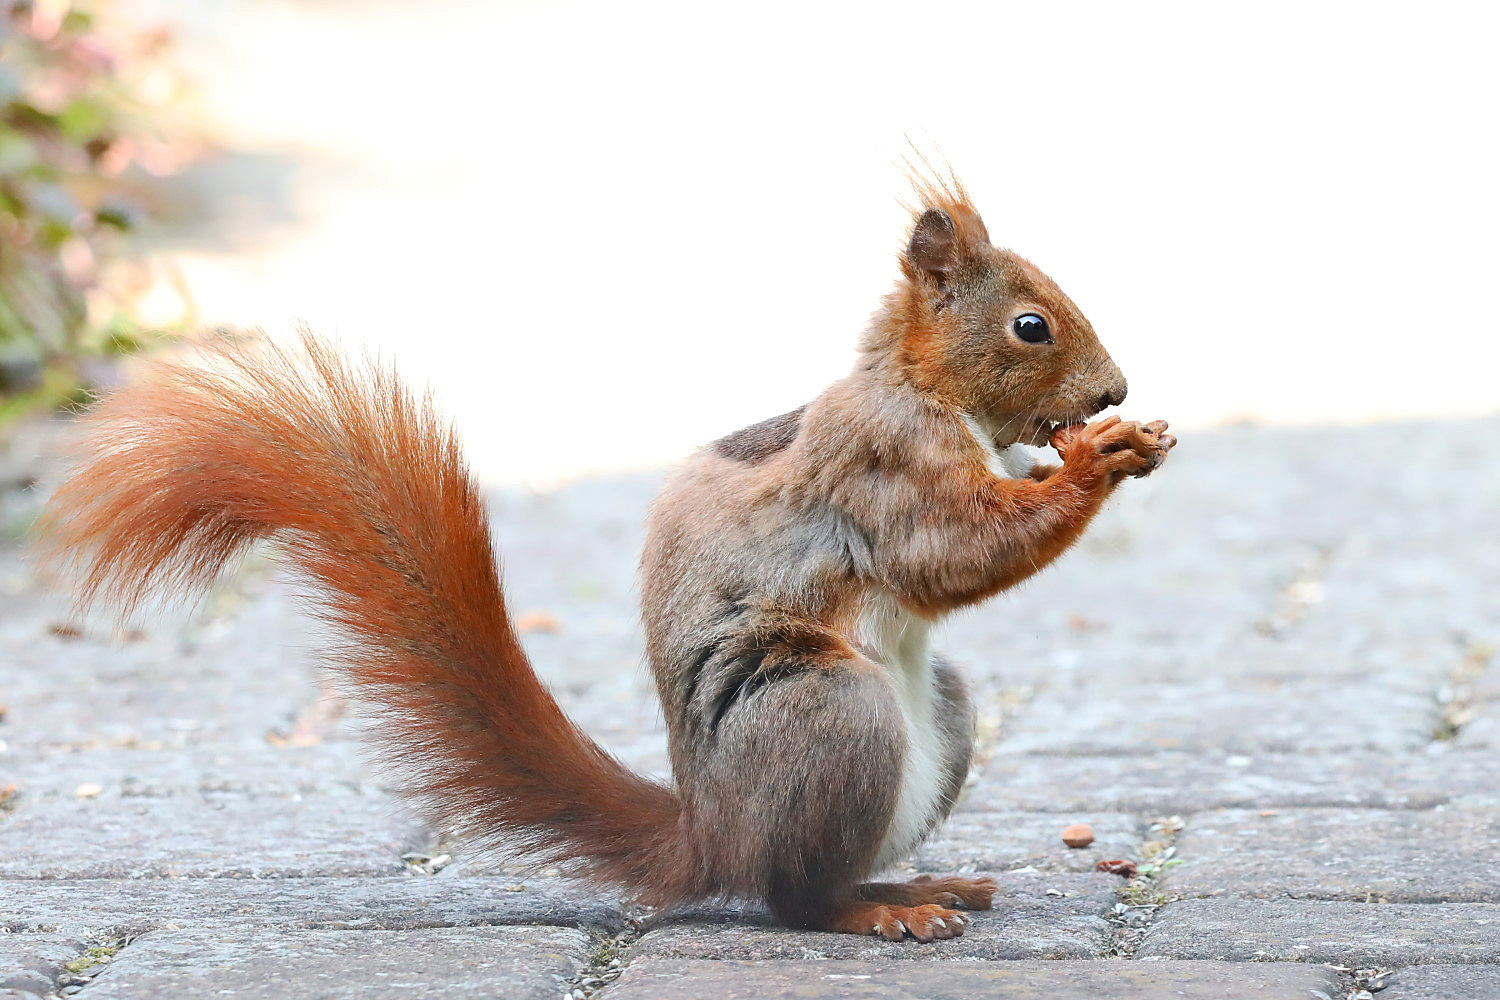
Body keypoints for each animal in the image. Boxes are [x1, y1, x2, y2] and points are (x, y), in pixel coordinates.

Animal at [35, 173, 1170, 947]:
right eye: (1030, 325)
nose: (1114, 393)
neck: (921, 388)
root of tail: (711, 834)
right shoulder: (880, 465)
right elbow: (950, 551)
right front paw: (1096, 463)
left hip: (939, 710)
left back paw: (918, 885)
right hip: (824, 709)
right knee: (795, 897)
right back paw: (880, 913)